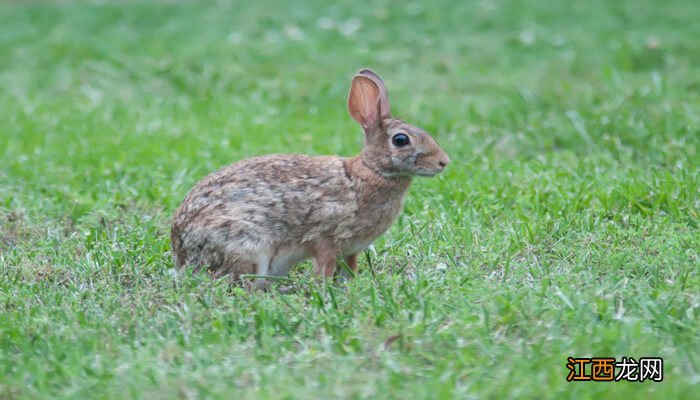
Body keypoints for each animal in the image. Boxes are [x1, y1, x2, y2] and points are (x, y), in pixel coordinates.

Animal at [170, 69, 448, 288]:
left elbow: (349, 270)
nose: (443, 162)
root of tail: (182, 256)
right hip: (247, 248)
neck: (370, 171)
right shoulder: (327, 239)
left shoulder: (351, 250)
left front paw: (347, 287)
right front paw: (324, 288)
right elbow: (324, 266)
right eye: (400, 140)